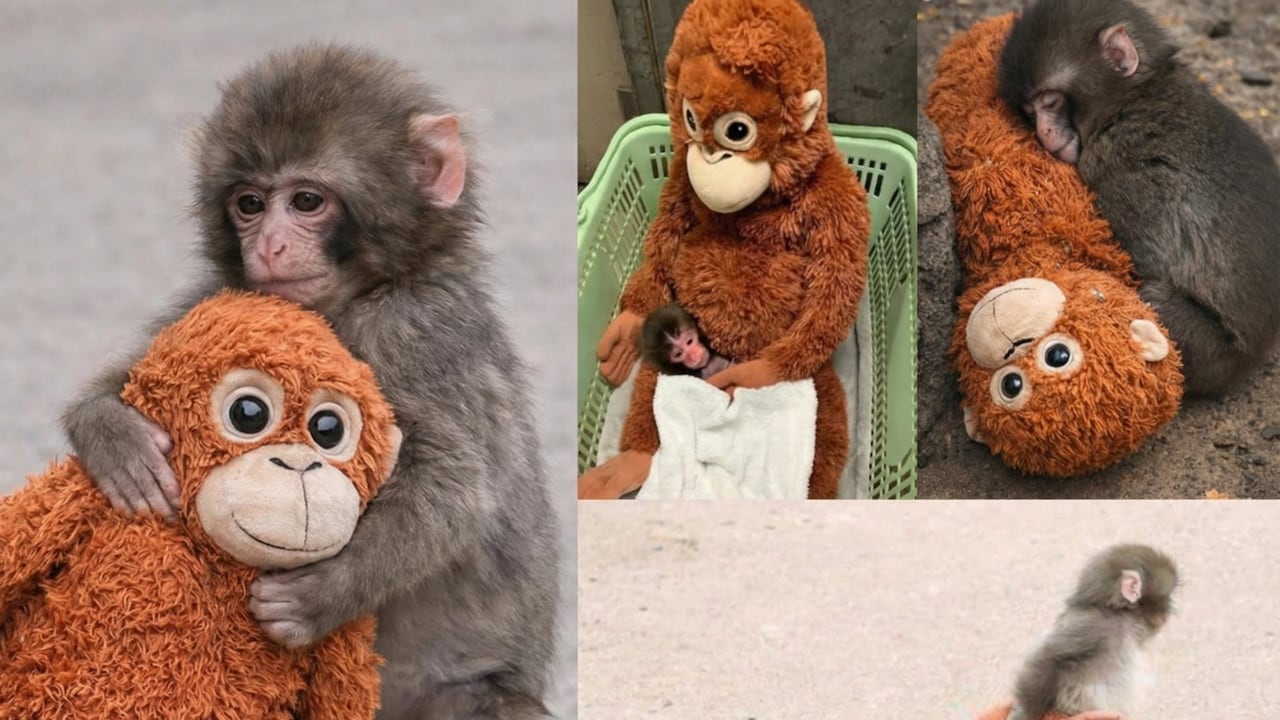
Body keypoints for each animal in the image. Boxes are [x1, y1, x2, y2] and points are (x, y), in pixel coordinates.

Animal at [59, 44, 559, 719]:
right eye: (249, 203)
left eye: (305, 202)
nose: (269, 246)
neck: (352, 299)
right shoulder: (226, 297)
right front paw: (115, 438)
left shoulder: (419, 331)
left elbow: (454, 491)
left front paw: (318, 597)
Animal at [998, 0, 1280, 397]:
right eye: (1029, 111)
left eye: (1050, 101)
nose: (1043, 133)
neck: (1134, 97)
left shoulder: (1123, 167)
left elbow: (1141, 261)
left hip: (1210, 349)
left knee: (1151, 300)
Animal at [1007, 543, 1177, 720]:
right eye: (1168, 597)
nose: (1169, 610)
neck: (1117, 613)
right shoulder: (1092, 625)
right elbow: (1048, 658)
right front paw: (1024, 713)